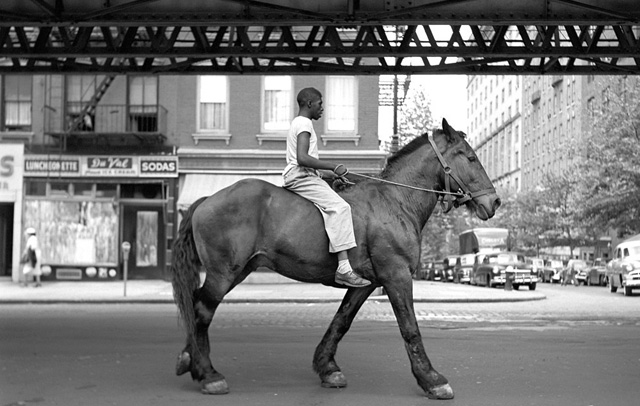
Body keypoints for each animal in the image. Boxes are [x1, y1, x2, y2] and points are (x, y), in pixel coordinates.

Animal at [170, 118, 500, 400]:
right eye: (470, 157)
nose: (494, 201)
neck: (395, 201)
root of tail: (206, 200)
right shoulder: (397, 276)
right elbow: (409, 327)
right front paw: (431, 379)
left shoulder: (366, 283)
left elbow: (341, 321)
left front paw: (327, 367)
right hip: (224, 273)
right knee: (202, 310)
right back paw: (208, 373)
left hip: (239, 270)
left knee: (197, 305)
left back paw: (189, 359)